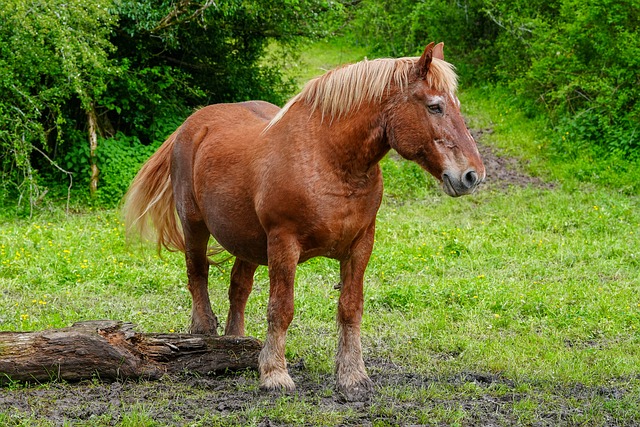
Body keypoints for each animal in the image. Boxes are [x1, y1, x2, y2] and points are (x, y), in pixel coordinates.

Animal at [124, 43, 484, 402]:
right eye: (435, 107)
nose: (472, 175)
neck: (329, 159)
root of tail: (193, 123)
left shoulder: (361, 245)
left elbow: (350, 308)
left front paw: (352, 376)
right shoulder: (284, 243)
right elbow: (281, 309)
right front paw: (275, 374)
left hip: (247, 239)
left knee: (238, 288)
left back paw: (236, 344)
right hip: (194, 225)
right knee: (197, 274)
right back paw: (204, 331)